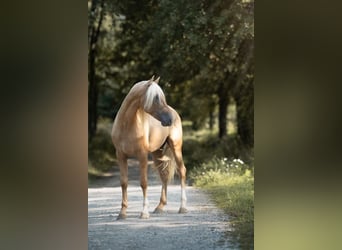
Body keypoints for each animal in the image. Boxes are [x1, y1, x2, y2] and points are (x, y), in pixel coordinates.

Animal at [111, 75, 187, 219]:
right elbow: (124, 182)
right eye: (156, 98)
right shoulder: (121, 156)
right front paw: (122, 213)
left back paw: (183, 207)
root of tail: (174, 112)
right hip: (157, 153)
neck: (127, 125)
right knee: (164, 176)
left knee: (182, 171)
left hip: (176, 147)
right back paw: (160, 207)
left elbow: (144, 182)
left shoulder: (142, 156)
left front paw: (144, 213)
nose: (169, 120)